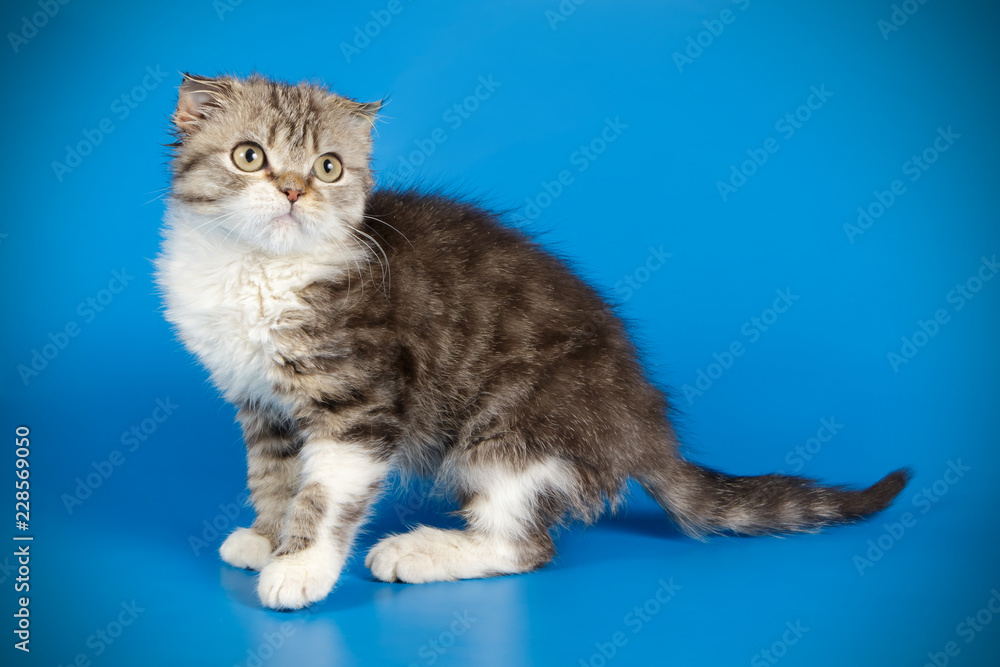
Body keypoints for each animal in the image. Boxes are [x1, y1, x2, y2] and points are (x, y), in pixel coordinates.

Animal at [154, 73, 908, 612]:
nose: (291, 190)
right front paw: (269, 538)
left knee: (525, 545)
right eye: (251, 157)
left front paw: (301, 567)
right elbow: (276, 476)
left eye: (329, 168)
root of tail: (644, 422)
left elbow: (326, 489)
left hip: (514, 433)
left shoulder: (360, 399)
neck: (258, 270)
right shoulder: (261, 402)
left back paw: (422, 552)